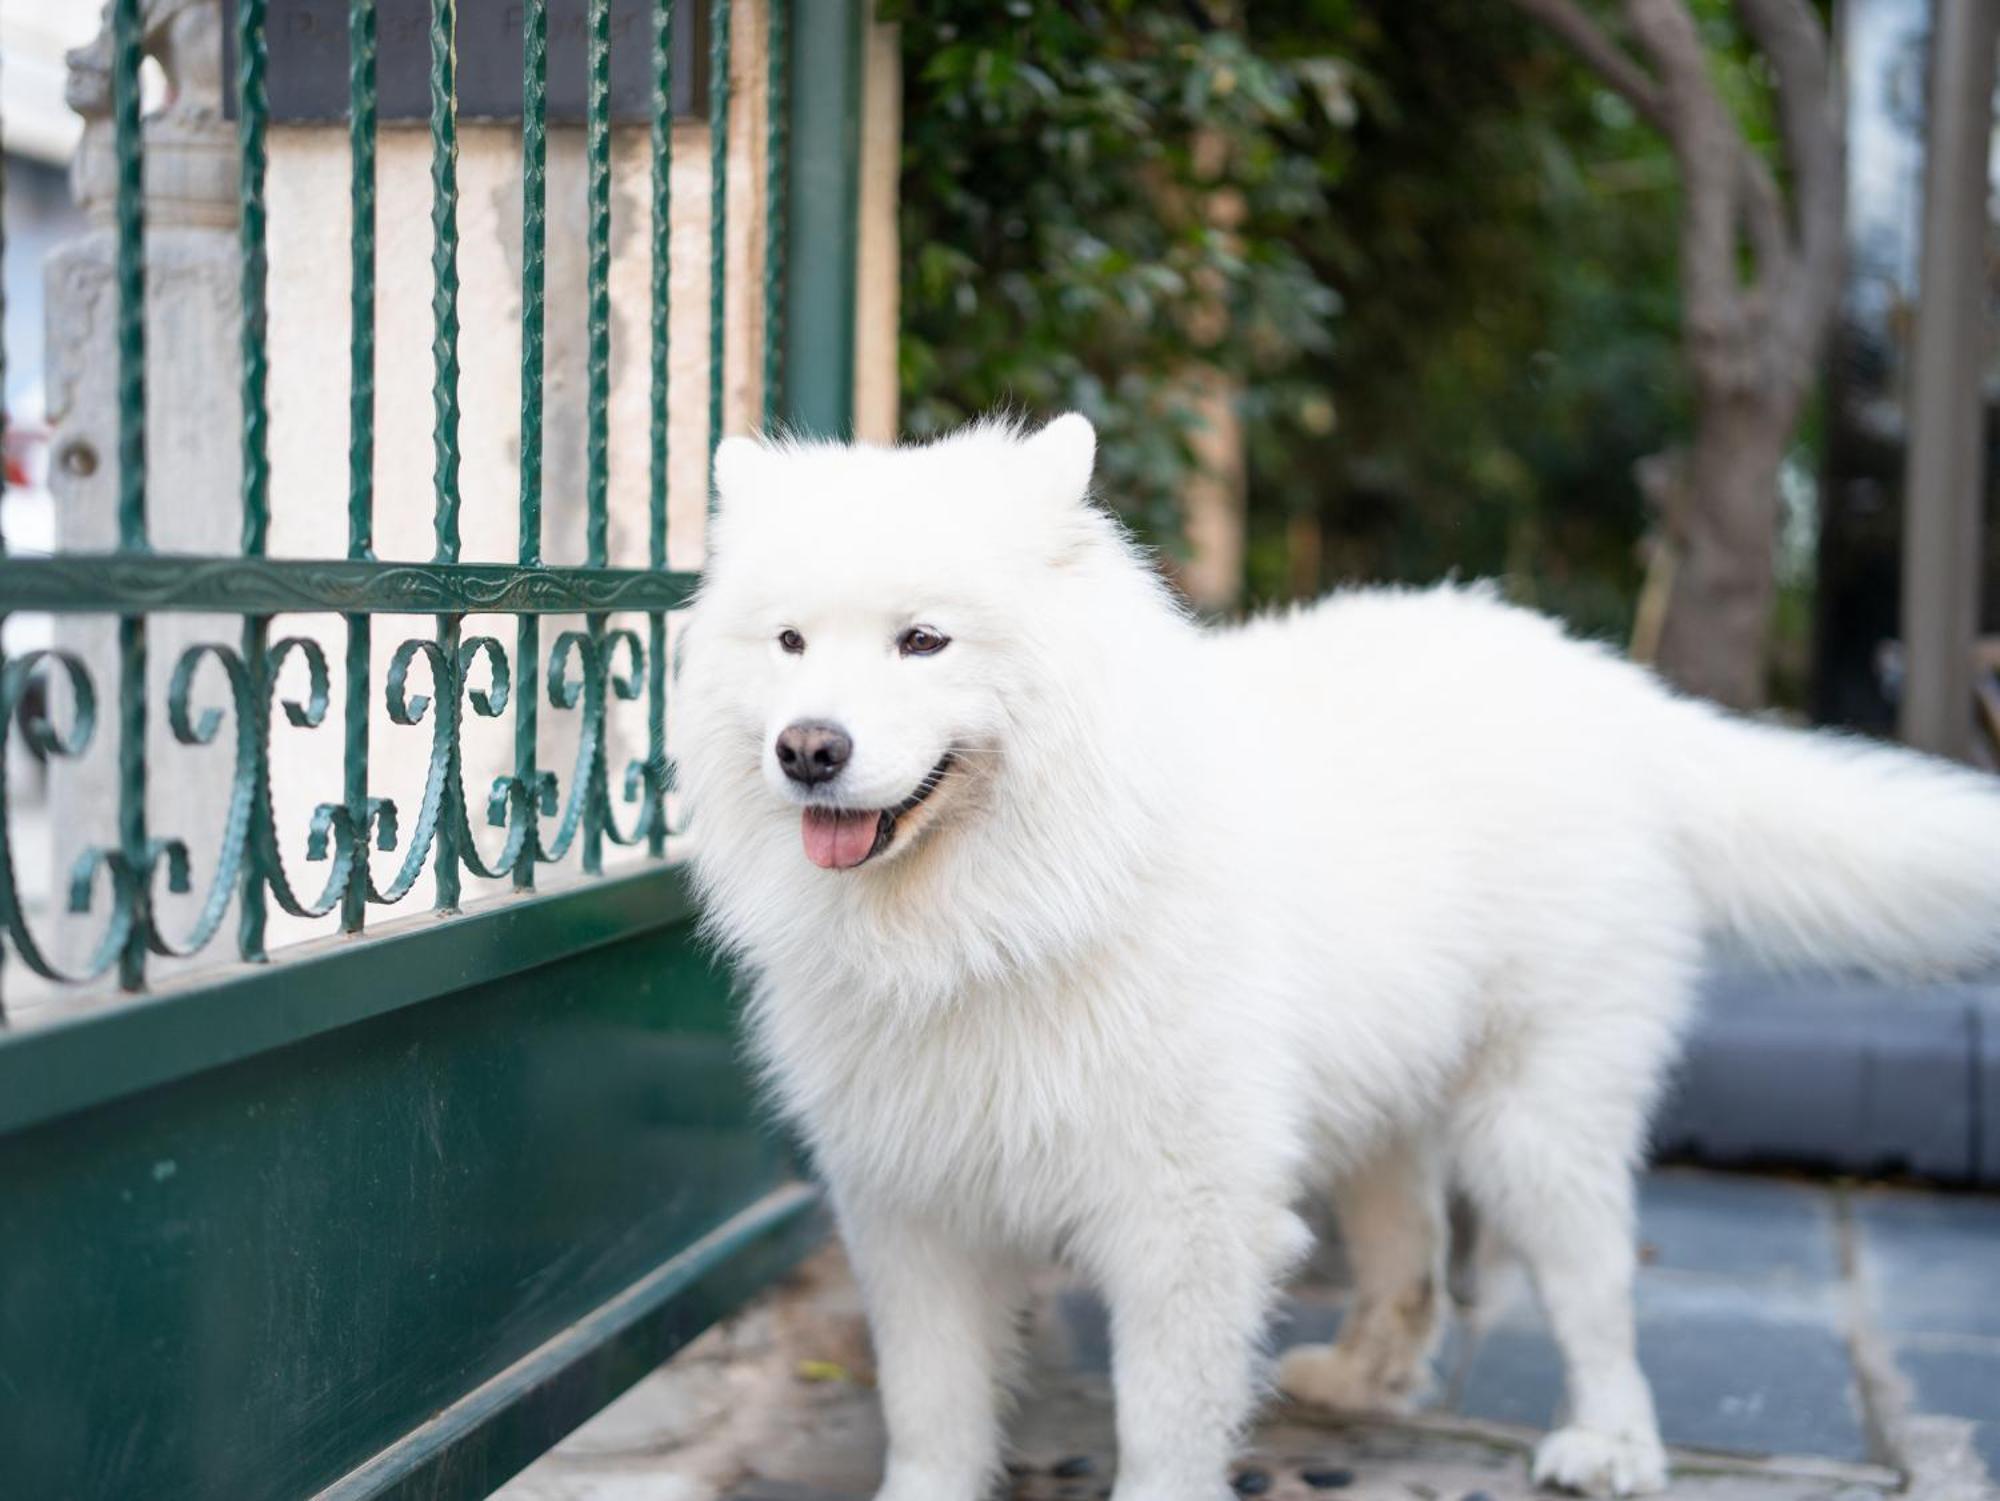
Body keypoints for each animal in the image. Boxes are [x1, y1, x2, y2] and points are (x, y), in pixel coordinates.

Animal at [676, 418, 2000, 1501]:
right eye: (789, 643)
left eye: (923, 641)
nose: (808, 749)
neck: (997, 912)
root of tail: (1609, 688)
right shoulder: (909, 1207)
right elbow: (932, 1419)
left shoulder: (1183, 1216)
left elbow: (1162, 1429)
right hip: (1380, 1096)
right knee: (1408, 1248)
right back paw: (1365, 1378)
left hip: (1535, 1117)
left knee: (1591, 1290)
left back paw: (1610, 1445)